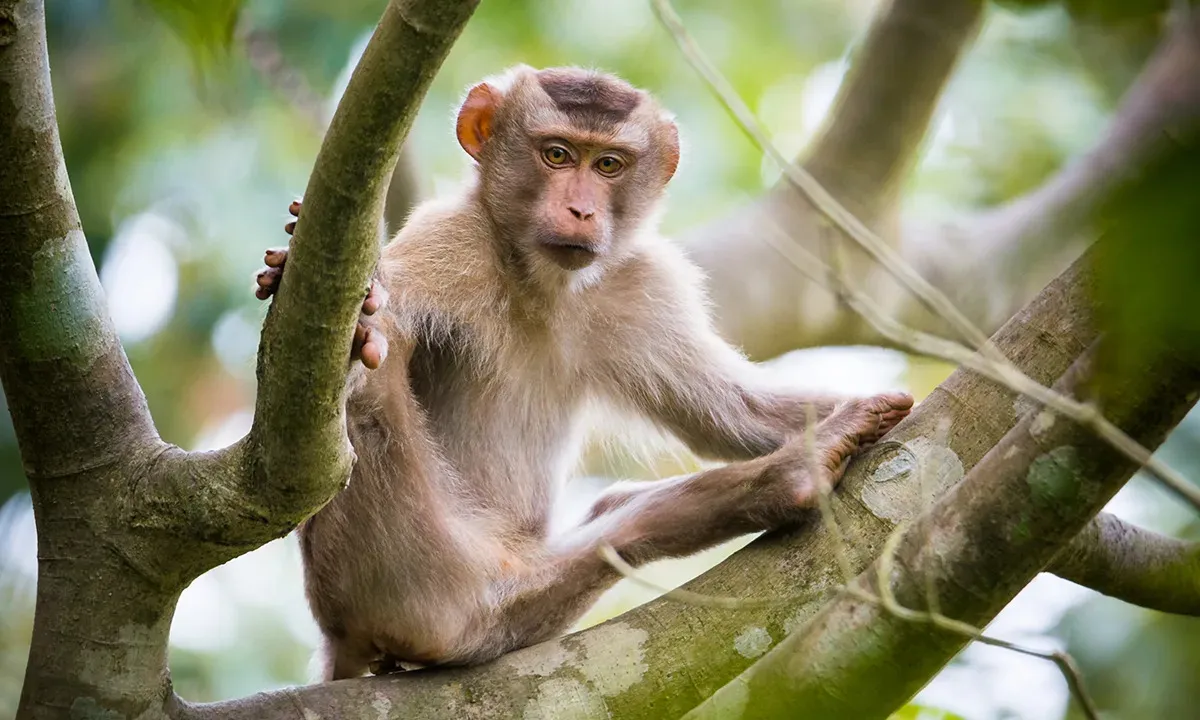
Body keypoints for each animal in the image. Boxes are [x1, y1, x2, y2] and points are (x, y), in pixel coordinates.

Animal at [254, 65, 913, 680]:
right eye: (557, 154)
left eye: (610, 165)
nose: (581, 208)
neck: (539, 284)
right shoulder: (447, 244)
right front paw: (326, 294)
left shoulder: (643, 287)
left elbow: (730, 414)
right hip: (422, 578)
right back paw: (793, 476)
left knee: (613, 527)